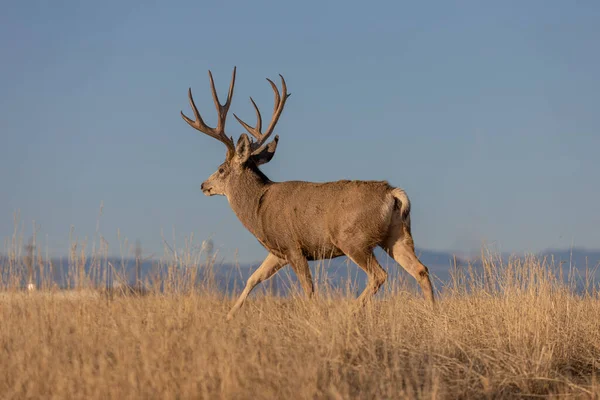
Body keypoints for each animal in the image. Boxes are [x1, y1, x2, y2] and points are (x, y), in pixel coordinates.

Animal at [180, 68, 434, 318]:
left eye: (221, 169)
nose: (203, 185)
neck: (258, 207)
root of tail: (392, 193)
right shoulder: (278, 251)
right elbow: (254, 278)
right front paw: (230, 315)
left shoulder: (293, 246)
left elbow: (308, 290)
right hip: (397, 235)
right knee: (420, 269)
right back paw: (432, 312)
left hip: (353, 239)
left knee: (379, 275)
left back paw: (348, 312)